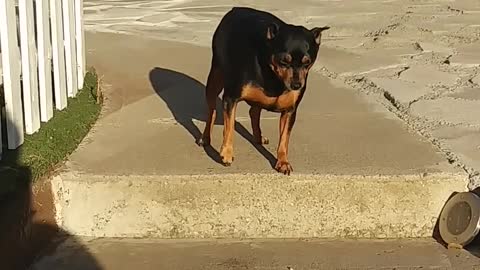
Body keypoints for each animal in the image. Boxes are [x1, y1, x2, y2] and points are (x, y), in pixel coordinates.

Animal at [197, 6, 328, 175]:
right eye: (284, 61)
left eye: (308, 63)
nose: (296, 85)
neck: (274, 77)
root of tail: (235, 9)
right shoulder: (230, 98)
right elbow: (229, 127)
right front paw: (226, 154)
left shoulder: (290, 110)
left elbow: (284, 139)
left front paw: (283, 162)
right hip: (215, 76)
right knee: (212, 111)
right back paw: (206, 138)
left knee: (254, 111)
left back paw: (258, 137)